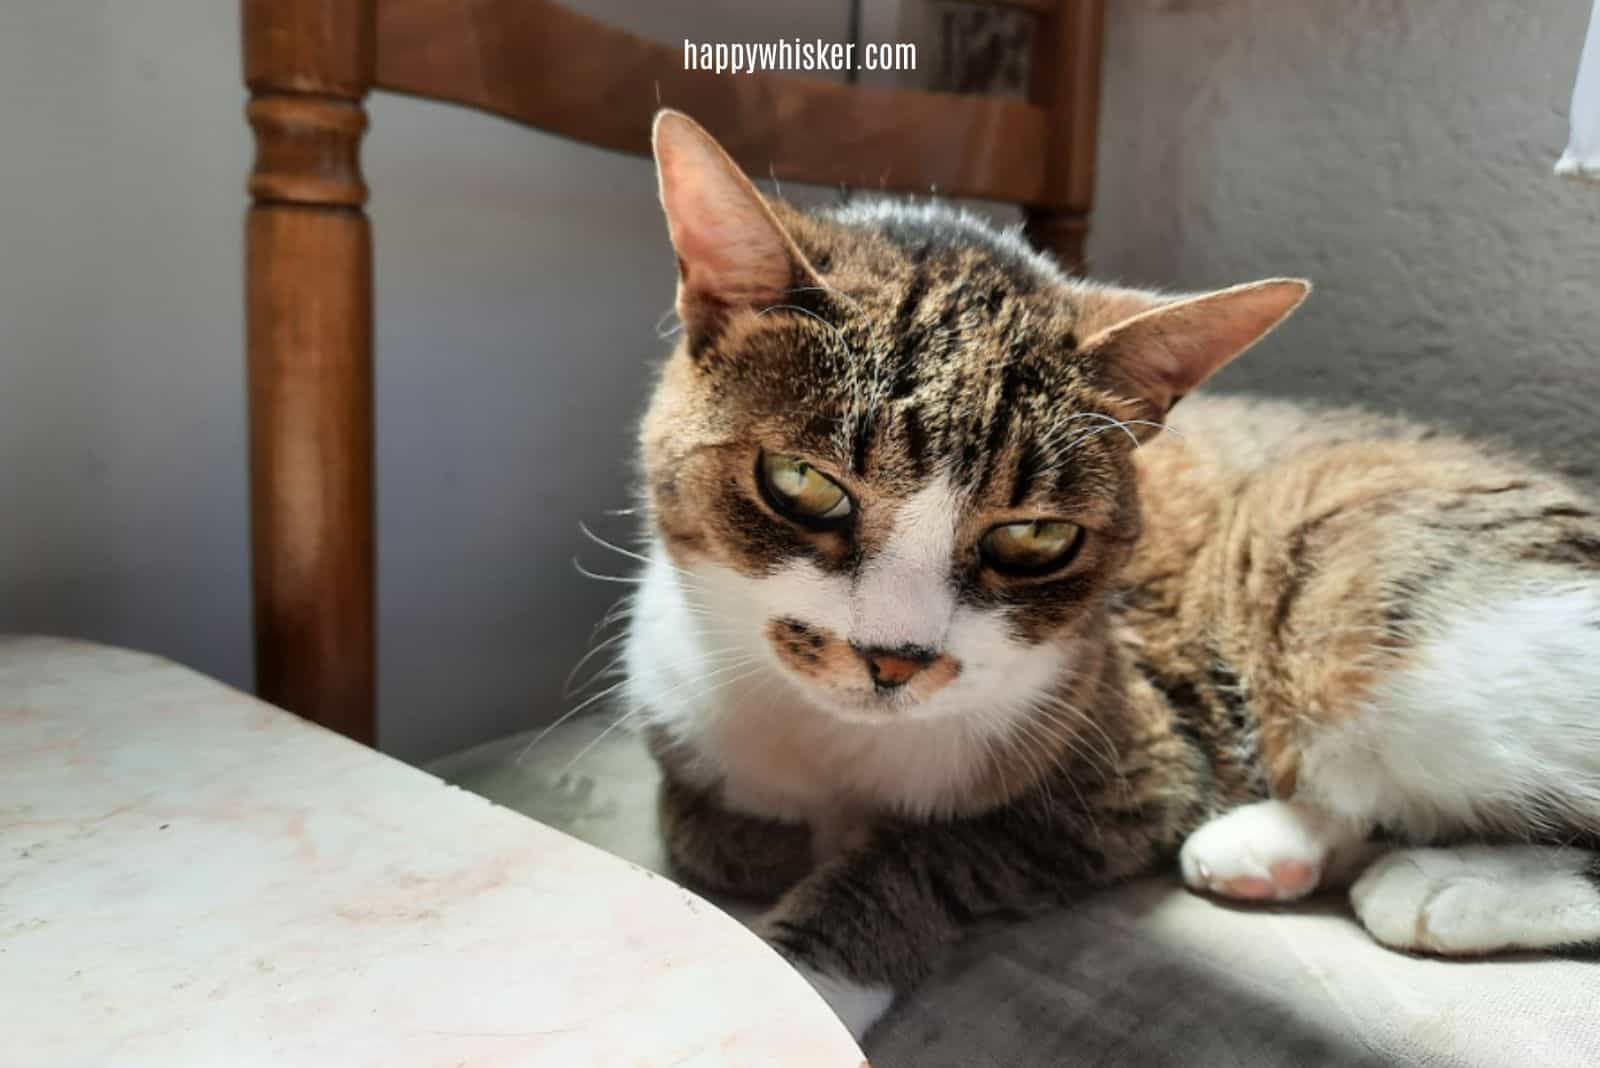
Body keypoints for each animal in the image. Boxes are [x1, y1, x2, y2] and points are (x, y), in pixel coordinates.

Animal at [620, 110, 1600, 1042]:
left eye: (1034, 537)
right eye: (803, 483)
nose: (893, 659)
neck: (830, 742)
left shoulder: (1130, 760)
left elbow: (928, 853)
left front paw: (804, 973)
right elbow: (696, 827)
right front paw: (764, 844)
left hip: (1375, 620)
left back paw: (1438, 887)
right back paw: (1269, 848)